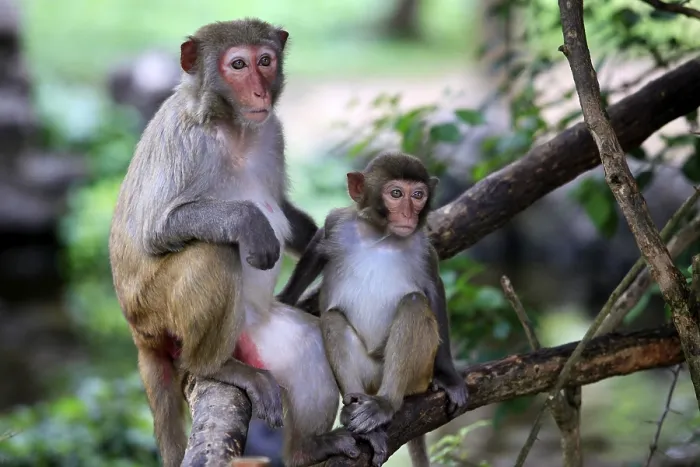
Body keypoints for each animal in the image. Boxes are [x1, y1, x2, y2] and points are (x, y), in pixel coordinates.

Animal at [108, 18, 359, 467]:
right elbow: (155, 228)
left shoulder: (272, 131)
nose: (260, 92)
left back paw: (309, 447)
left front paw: (323, 241)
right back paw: (212, 367)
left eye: (265, 61)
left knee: (310, 345)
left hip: (255, 334)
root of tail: (138, 332)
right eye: (238, 65)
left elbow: (282, 208)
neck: (234, 127)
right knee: (213, 251)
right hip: (156, 311)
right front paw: (249, 221)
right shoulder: (185, 139)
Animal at [277, 151, 469, 467]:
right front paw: (284, 298)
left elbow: (433, 289)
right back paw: (358, 415)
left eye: (418, 195)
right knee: (332, 318)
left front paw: (448, 375)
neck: (381, 235)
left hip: (416, 374)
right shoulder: (338, 223)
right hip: (366, 373)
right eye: (396, 194)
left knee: (414, 304)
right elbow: (316, 249)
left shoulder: (424, 248)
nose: (408, 214)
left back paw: (384, 405)